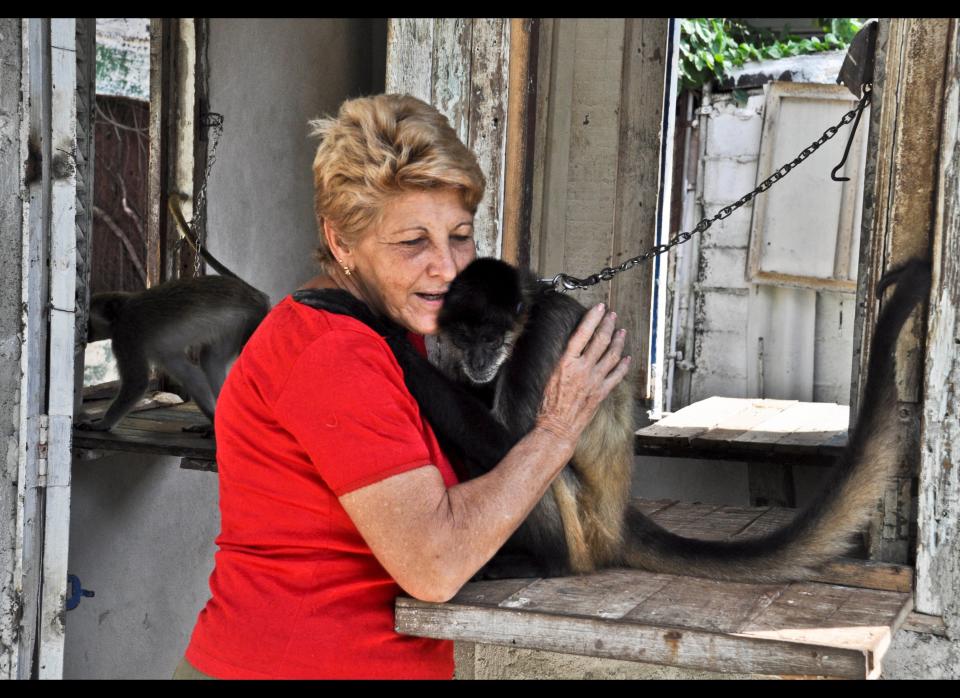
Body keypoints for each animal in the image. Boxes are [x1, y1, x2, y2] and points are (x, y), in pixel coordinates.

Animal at [78, 193, 270, 430]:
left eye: (88, 323)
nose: (85, 334)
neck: (121, 312)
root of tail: (256, 294)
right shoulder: (163, 352)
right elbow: (191, 376)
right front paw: (211, 419)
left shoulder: (127, 335)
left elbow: (136, 383)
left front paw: (102, 424)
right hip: (235, 325)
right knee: (211, 361)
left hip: (255, 319)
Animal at [292, 256, 928, 580]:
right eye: (465, 336)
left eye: (492, 336)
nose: (477, 360)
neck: (530, 311)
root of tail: (618, 518)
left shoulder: (539, 341)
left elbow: (511, 446)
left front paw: (381, 329)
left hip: (583, 529)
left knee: (539, 470)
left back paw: (546, 566)